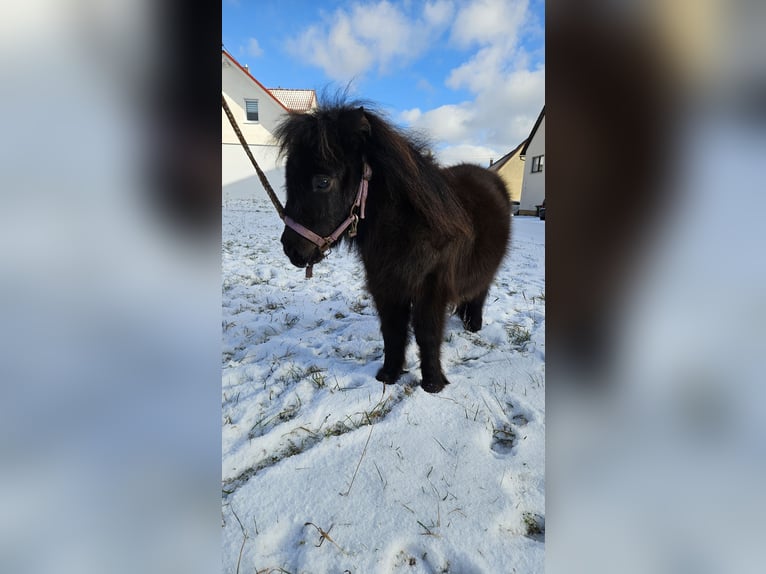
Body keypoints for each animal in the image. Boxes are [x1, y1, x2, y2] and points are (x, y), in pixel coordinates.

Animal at [274, 101, 510, 394]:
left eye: (323, 182)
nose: (291, 249)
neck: (408, 229)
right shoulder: (385, 286)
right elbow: (392, 331)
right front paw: (389, 375)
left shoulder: (431, 290)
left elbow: (427, 334)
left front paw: (433, 383)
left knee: (480, 291)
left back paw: (473, 325)